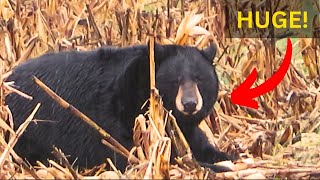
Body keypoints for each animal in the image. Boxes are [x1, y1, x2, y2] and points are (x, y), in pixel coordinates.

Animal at [5, 44, 230, 171]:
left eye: (199, 79)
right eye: (176, 81)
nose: (190, 104)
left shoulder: (182, 127)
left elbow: (195, 143)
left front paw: (224, 157)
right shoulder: (110, 117)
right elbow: (131, 154)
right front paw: (213, 167)